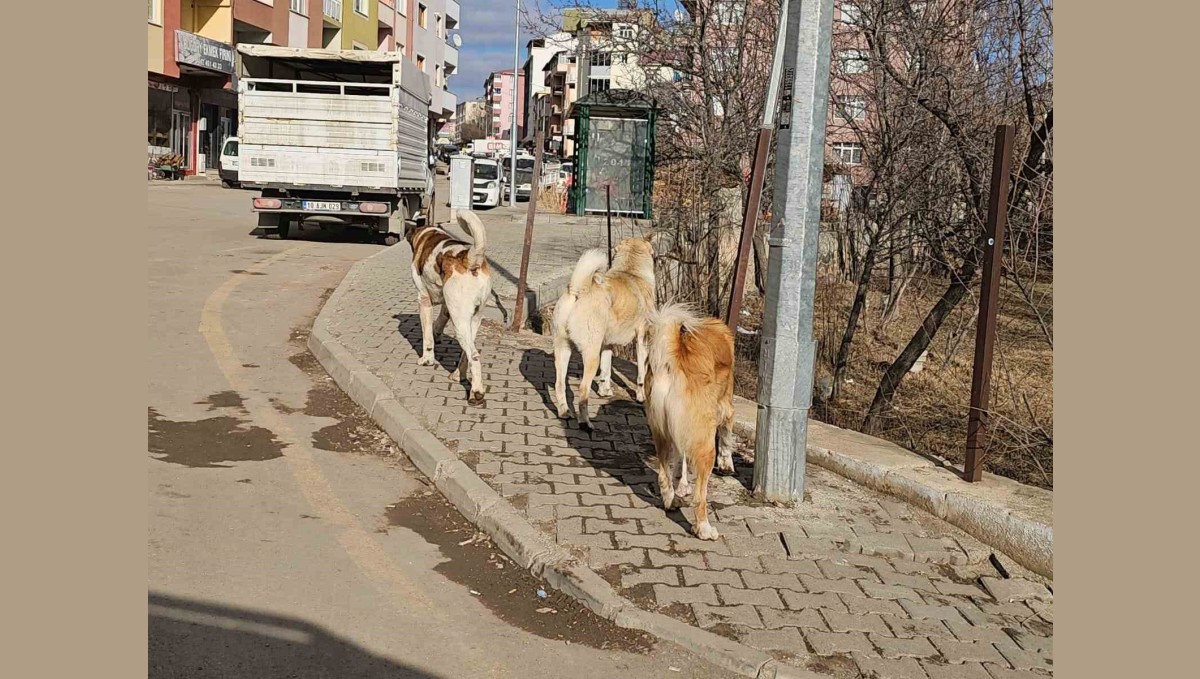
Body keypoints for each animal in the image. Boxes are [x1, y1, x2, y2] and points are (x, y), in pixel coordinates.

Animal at [408, 211, 492, 405]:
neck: (427, 235)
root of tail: (470, 259)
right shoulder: (447, 307)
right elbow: (437, 325)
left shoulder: (423, 301)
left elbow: (427, 337)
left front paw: (427, 359)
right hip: (473, 320)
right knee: (466, 353)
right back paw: (457, 375)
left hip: (460, 322)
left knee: (474, 356)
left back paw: (476, 393)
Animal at [552, 236, 657, 431]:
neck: (631, 271)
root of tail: (578, 289)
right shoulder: (642, 340)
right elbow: (641, 374)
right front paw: (641, 396)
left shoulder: (607, 344)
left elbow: (606, 369)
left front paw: (605, 391)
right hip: (590, 355)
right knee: (583, 390)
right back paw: (585, 422)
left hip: (562, 349)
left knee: (560, 384)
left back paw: (565, 412)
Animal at [643, 305, 734, 539]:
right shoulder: (726, 406)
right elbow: (727, 435)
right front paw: (727, 463)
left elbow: (680, 458)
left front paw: (681, 483)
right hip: (705, 444)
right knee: (699, 497)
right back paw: (704, 529)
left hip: (661, 433)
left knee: (663, 475)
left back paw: (671, 500)